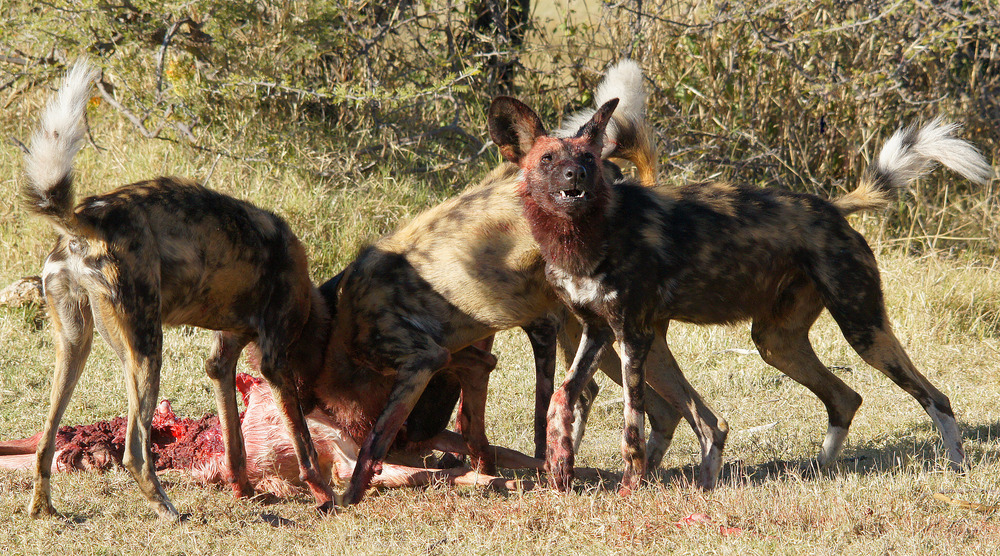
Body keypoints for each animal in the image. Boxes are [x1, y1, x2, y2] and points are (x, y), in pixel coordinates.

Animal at [19, 59, 338, 516]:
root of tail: (86, 219)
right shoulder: (275, 364)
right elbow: (305, 447)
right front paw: (325, 495)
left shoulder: (221, 361)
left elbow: (235, 444)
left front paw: (243, 489)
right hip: (147, 352)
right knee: (135, 451)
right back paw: (168, 511)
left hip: (76, 346)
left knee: (46, 440)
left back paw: (44, 508)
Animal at [332, 59, 732, 504]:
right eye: (547, 159)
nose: (414, 439)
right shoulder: (486, 349)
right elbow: (485, 423)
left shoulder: (509, 340)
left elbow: (534, 421)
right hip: (602, 340)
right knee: (665, 410)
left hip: (619, 339)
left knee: (681, 414)